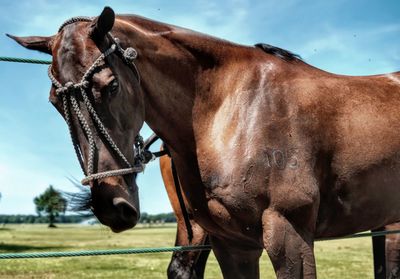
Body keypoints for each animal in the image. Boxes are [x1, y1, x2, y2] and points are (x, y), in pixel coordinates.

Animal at [8, 6, 400, 278]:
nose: (111, 204)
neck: (232, 109)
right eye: (54, 101)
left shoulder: (290, 232)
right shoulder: (234, 245)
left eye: (111, 85)